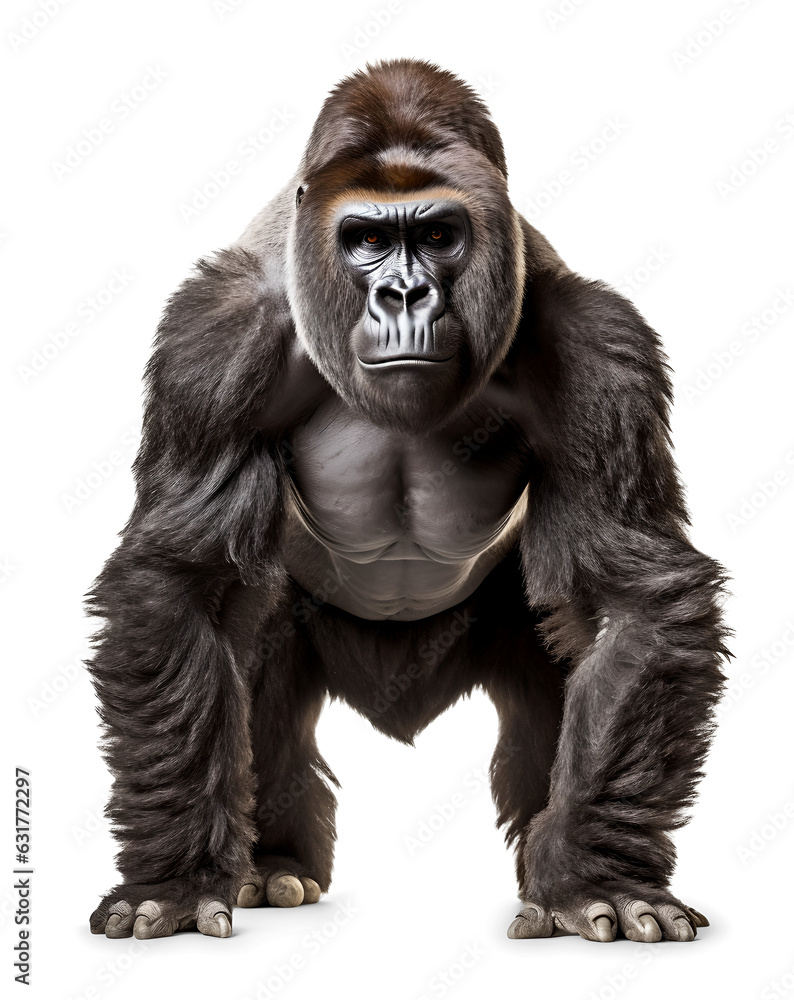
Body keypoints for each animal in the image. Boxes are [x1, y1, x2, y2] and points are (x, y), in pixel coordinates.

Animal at [87, 58, 728, 943]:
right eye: (366, 240)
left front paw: (596, 879)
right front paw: (177, 881)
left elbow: (634, 601)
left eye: (435, 236)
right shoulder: (211, 345)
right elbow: (179, 581)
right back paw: (271, 860)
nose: (403, 296)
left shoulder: (600, 348)